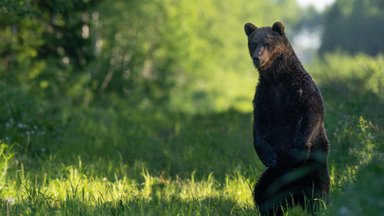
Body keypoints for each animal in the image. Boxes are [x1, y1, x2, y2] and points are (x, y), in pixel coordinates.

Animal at [246, 21, 330, 215]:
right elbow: (259, 123)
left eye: (267, 43)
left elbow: (312, 112)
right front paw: (269, 156)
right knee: (263, 194)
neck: (277, 78)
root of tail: (295, 195)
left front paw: (297, 151)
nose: (257, 58)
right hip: (274, 176)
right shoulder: (264, 94)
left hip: (314, 166)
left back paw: (318, 207)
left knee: (318, 190)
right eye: (253, 43)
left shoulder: (300, 89)